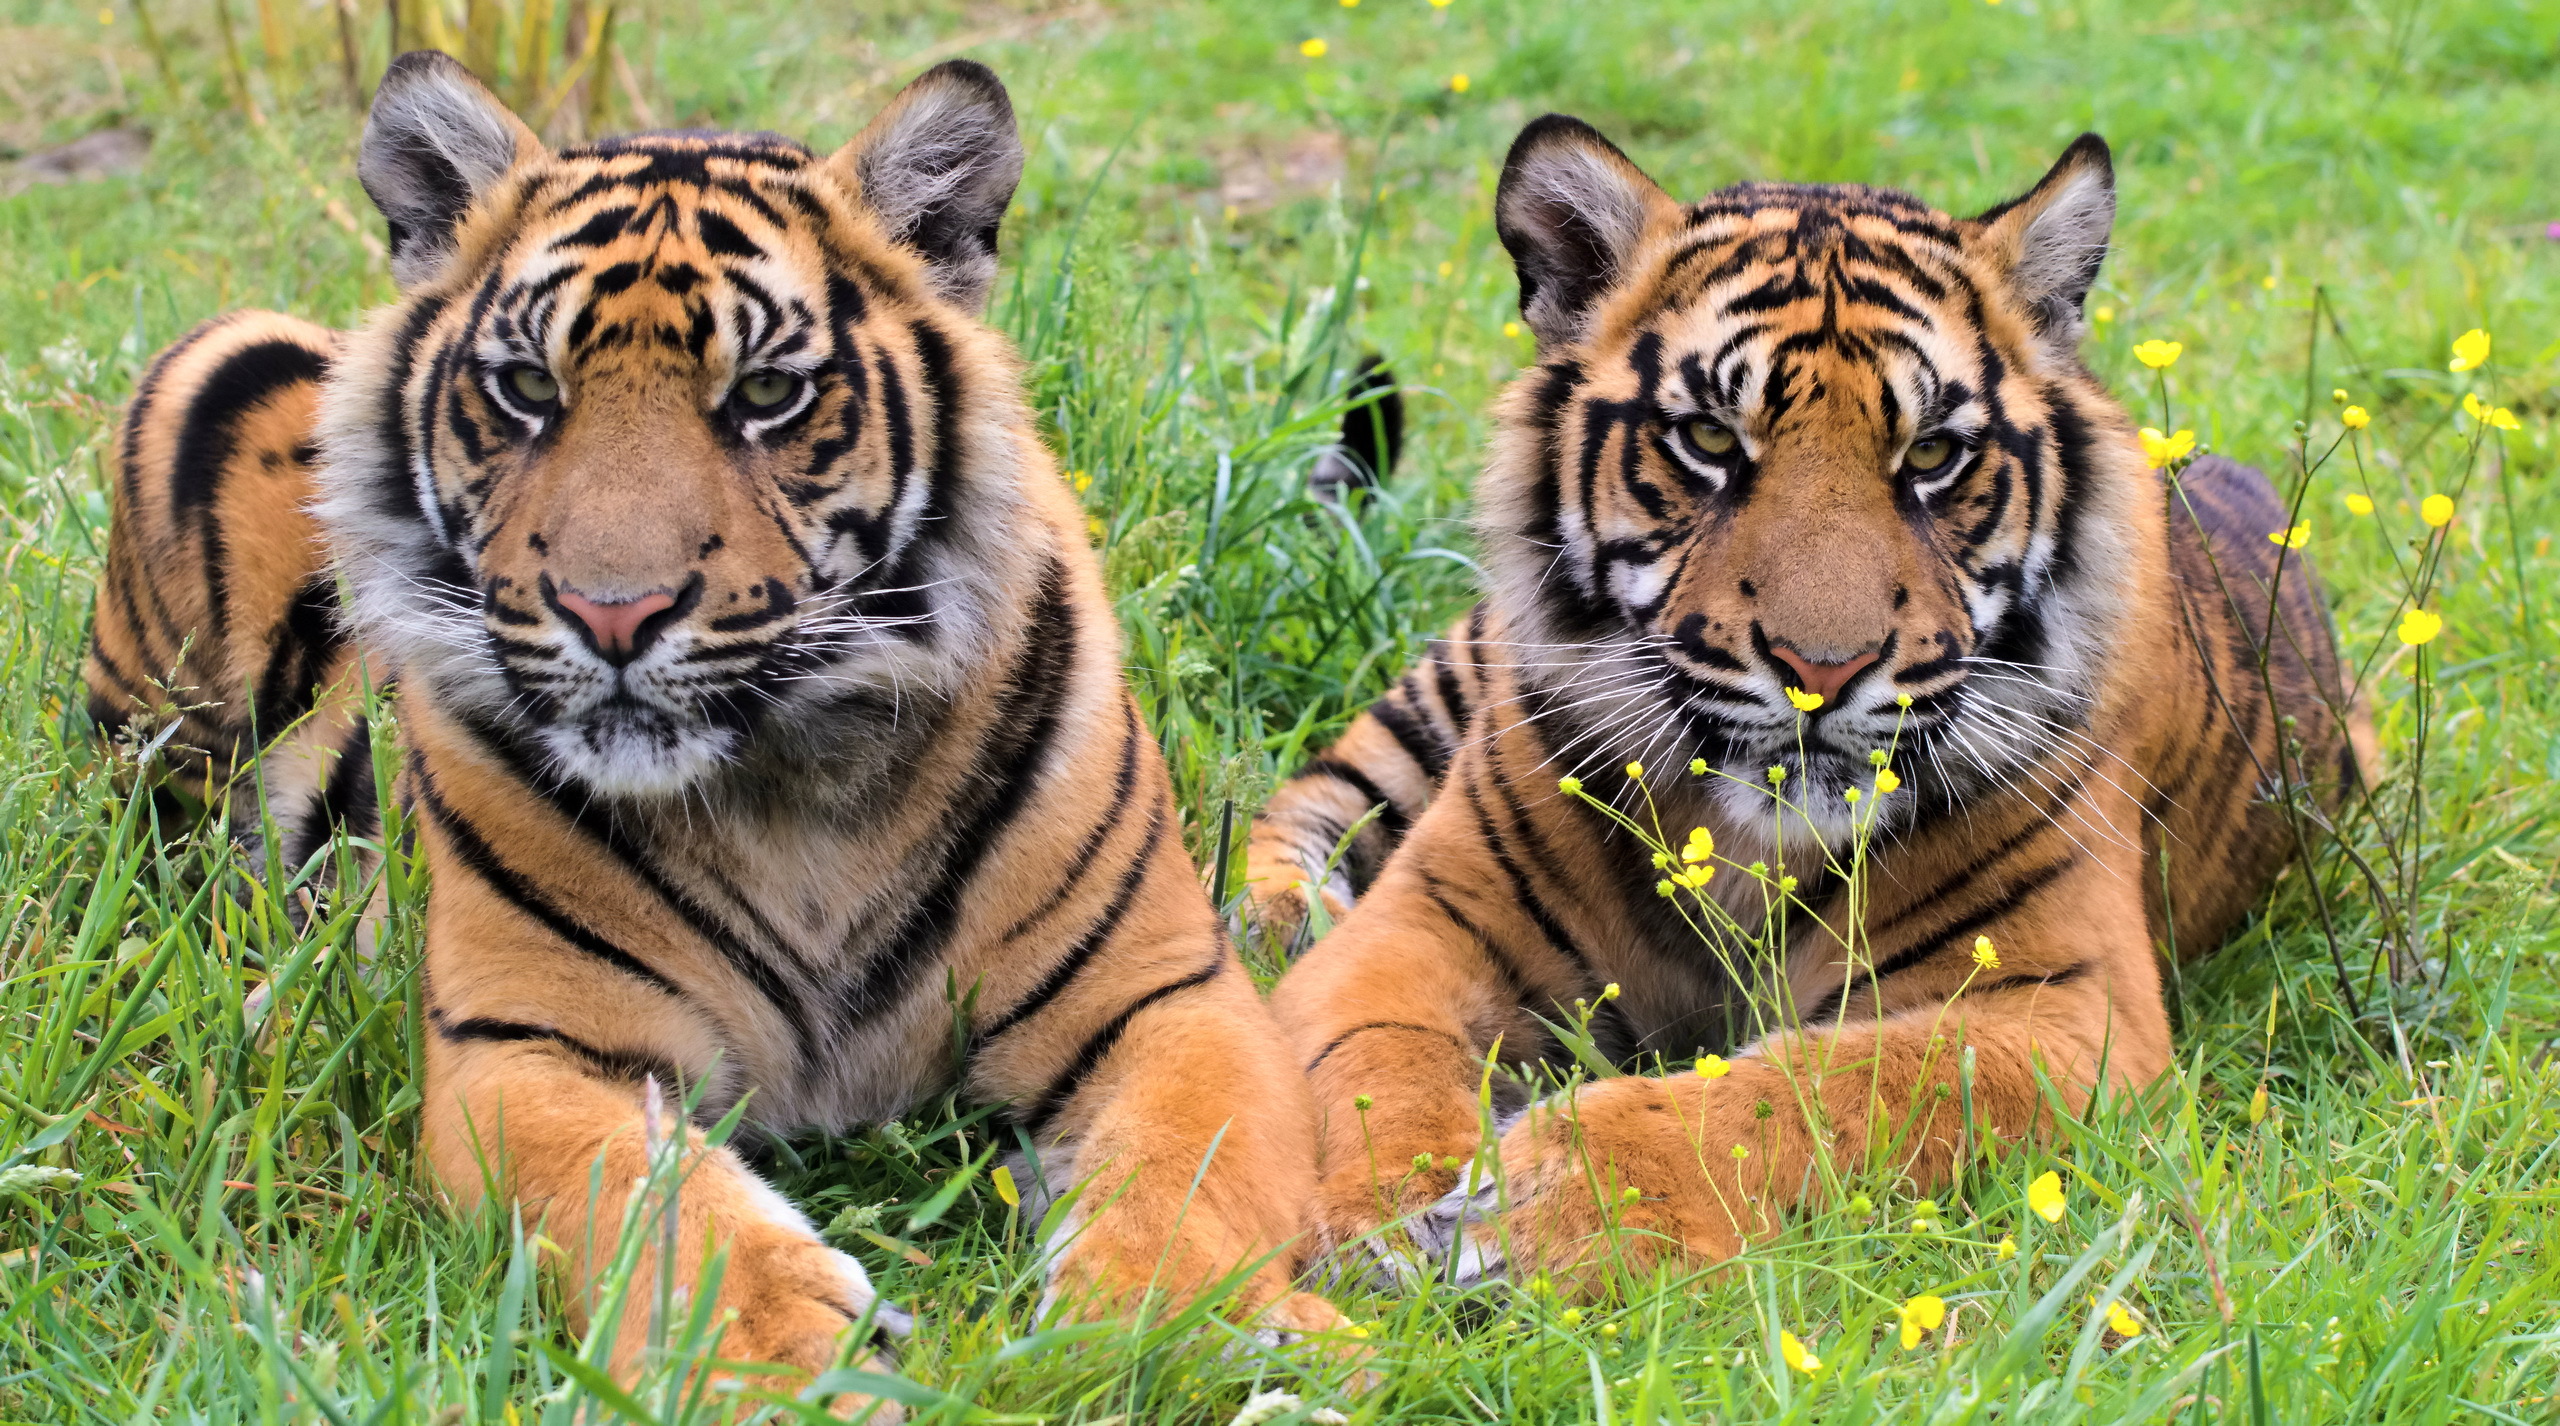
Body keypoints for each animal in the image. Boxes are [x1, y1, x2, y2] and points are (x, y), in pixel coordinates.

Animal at [87, 47, 1351, 1402]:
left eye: (767, 394)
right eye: (526, 388)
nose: (613, 612)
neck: (797, 780)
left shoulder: (1168, 992)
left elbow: (1186, 1177)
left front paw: (1161, 1336)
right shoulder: (528, 1044)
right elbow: (645, 1201)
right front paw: (781, 1358)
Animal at [1239, 113, 2355, 1290]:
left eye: (1932, 453)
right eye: (1709, 440)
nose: (1823, 669)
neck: (1742, 844)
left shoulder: (2067, 1000)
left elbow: (1824, 1093)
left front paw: (1546, 1206)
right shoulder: (1420, 923)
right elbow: (1374, 1066)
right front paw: (1382, 1209)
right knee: (1319, 792)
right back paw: (1279, 914)